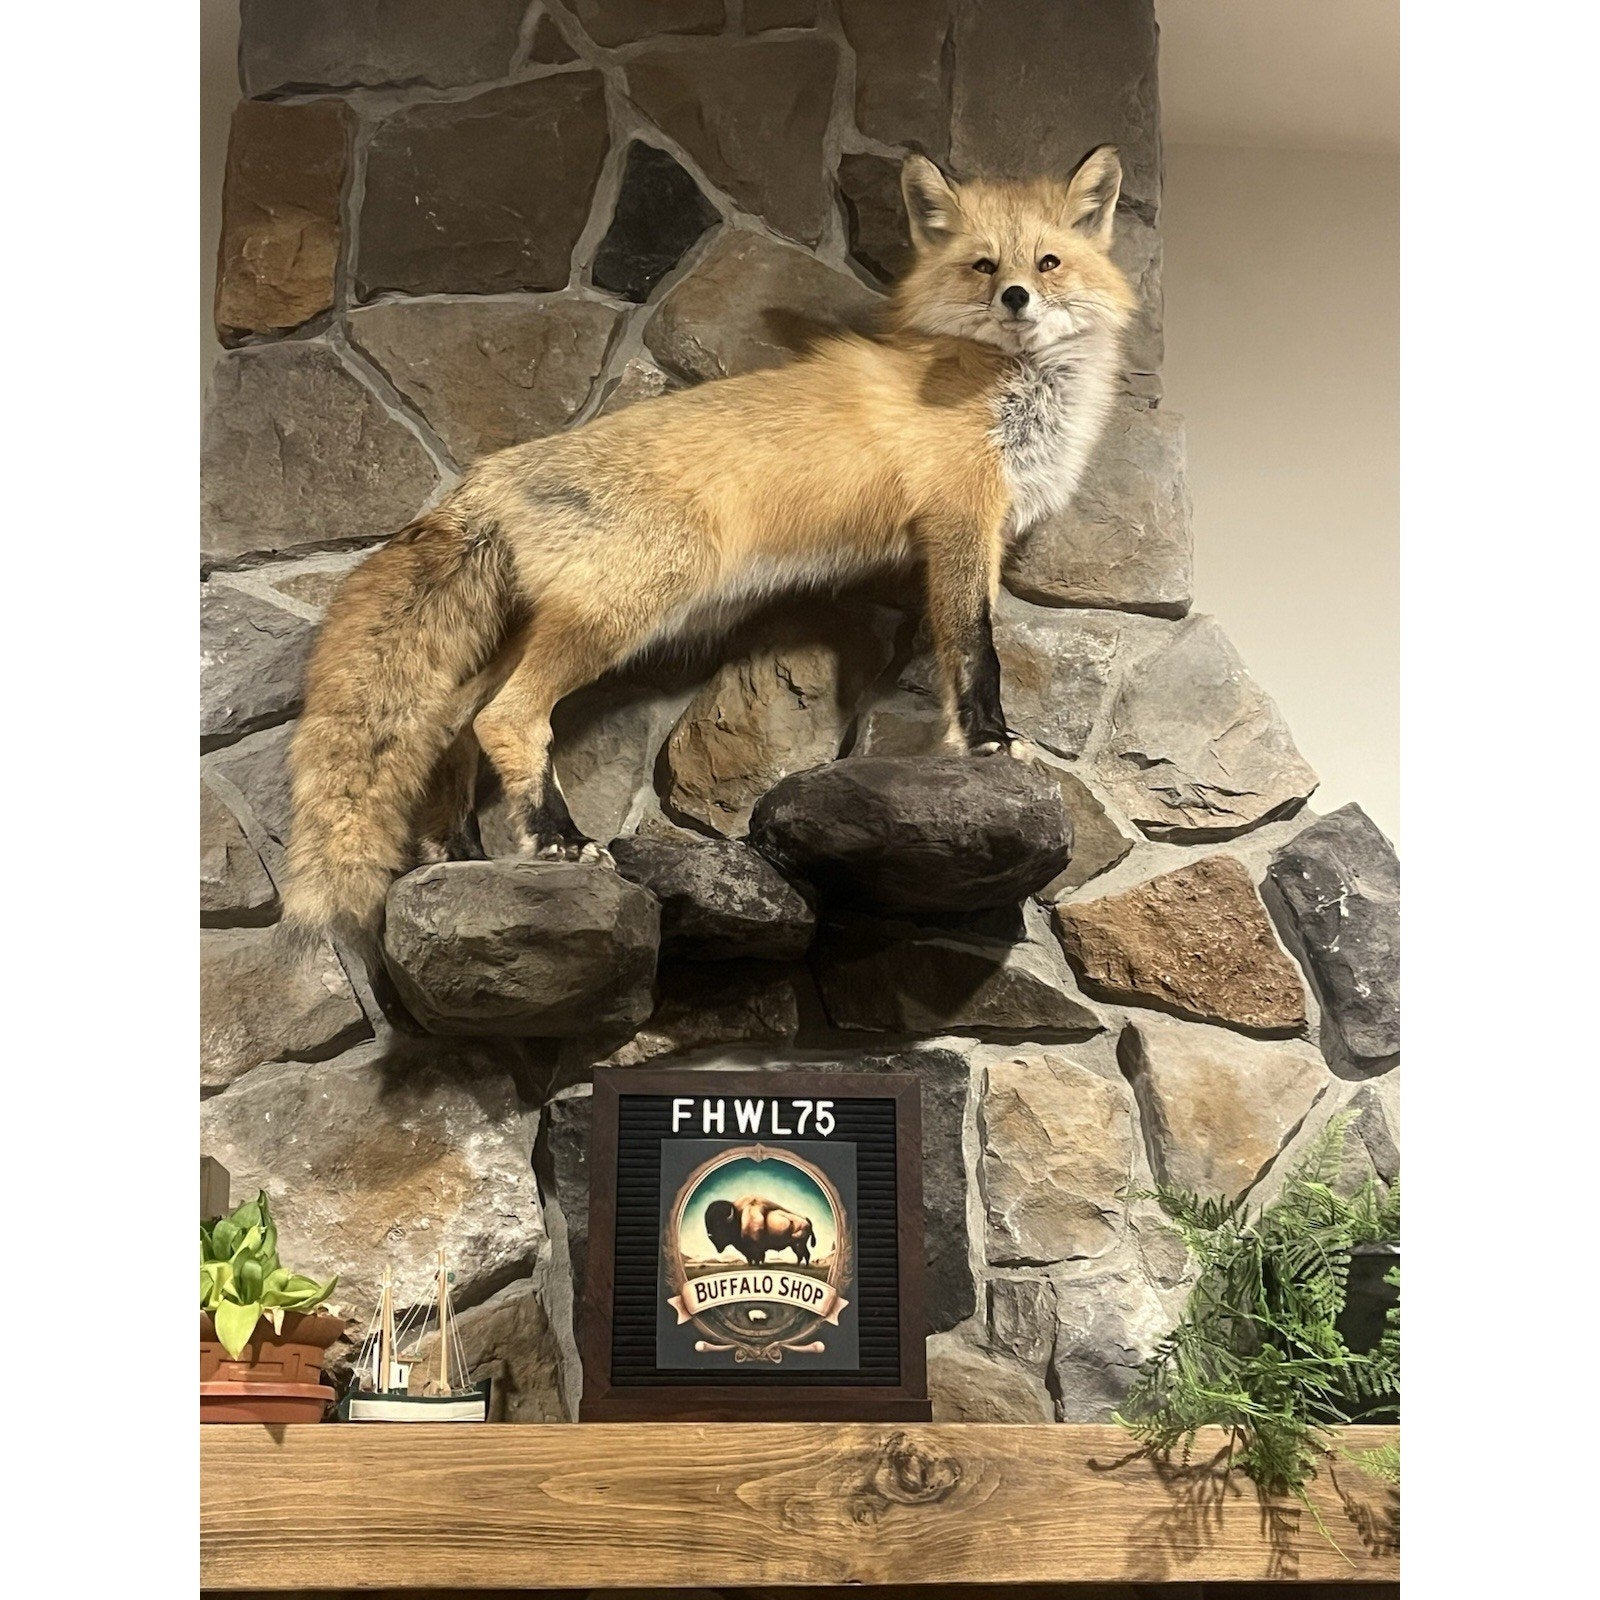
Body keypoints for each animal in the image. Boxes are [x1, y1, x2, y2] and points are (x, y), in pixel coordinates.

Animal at [283, 146, 1136, 942]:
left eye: (1048, 262)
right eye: (984, 265)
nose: (1017, 298)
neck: (1007, 384)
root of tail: (487, 475)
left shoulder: (968, 535)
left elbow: (964, 641)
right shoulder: (962, 520)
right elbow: (977, 646)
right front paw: (989, 741)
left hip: (553, 626)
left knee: (453, 720)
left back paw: (461, 848)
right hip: (625, 612)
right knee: (507, 718)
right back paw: (560, 841)